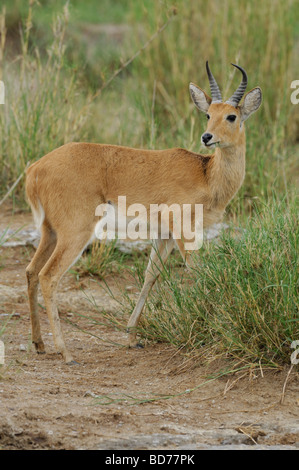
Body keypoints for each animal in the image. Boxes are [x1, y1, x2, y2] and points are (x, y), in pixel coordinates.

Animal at [26, 62, 262, 364]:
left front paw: (131, 337)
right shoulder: (184, 231)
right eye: (209, 114)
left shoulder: (165, 235)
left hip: (50, 233)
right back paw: (66, 353)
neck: (207, 174)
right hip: (75, 234)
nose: (207, 137)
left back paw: (39, 343)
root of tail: (36, 168)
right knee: (49, 277)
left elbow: (151, 276)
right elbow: (199, 273)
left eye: (231, 116)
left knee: (32, 272)